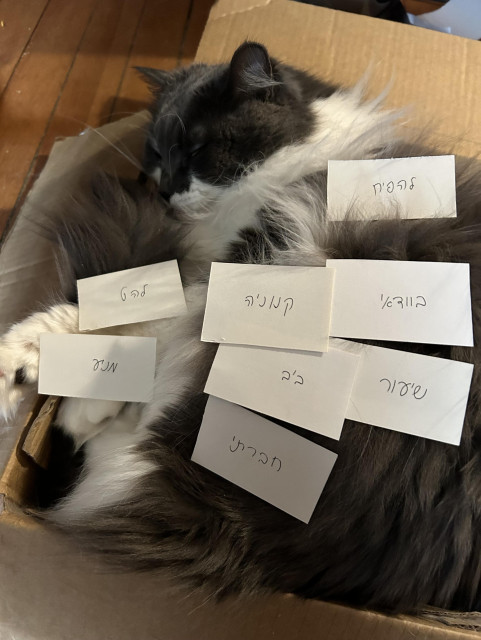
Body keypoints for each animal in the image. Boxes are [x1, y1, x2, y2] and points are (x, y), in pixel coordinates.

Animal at [0, 42, 480, 612]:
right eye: (155, 153)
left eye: (196, 148)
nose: (166, 191)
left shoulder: (235, 259)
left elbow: (133, 310)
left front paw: (25, 366)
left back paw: (82, 418)